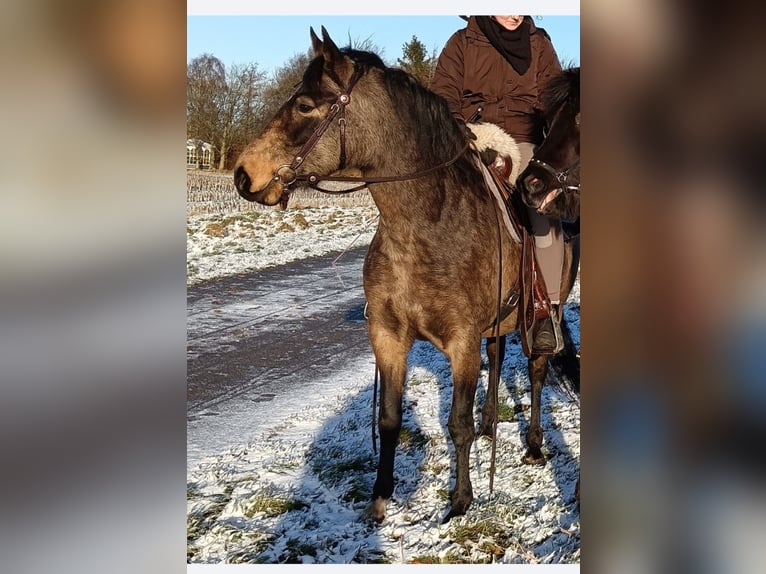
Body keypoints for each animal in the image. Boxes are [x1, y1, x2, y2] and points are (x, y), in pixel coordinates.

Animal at [234, 28, 584, 528]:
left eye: (304, 105)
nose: (244, 175)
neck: (426, 226)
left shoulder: (461, 341)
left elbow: (456, 423)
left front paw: (460, 500)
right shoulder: (387, 336)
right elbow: (389, 420)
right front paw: (380, 497)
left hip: (542, 315)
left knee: (536, 371)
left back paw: (533, 445)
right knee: (497, 357)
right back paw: (490, 424)